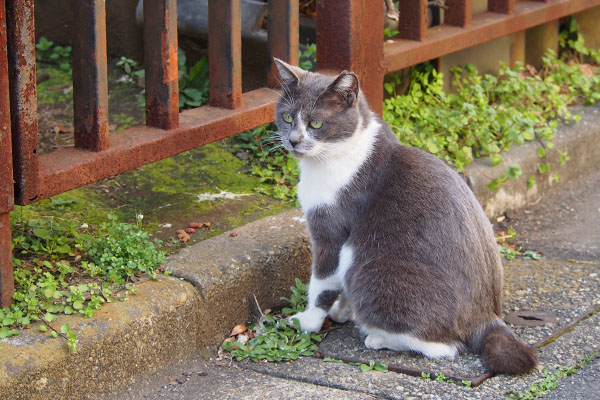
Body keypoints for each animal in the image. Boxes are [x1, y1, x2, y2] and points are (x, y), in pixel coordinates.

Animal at [274, 57, 536, 376]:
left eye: (315, 123)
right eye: (287, 117)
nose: (293, 140)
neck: (332, 158)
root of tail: (488, 318)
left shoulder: (332, 233)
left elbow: (321, 283)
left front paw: (309, 320)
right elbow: (339, 286)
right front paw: (342, 310)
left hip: (373, 270)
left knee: (446, 348)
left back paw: (377, 337)